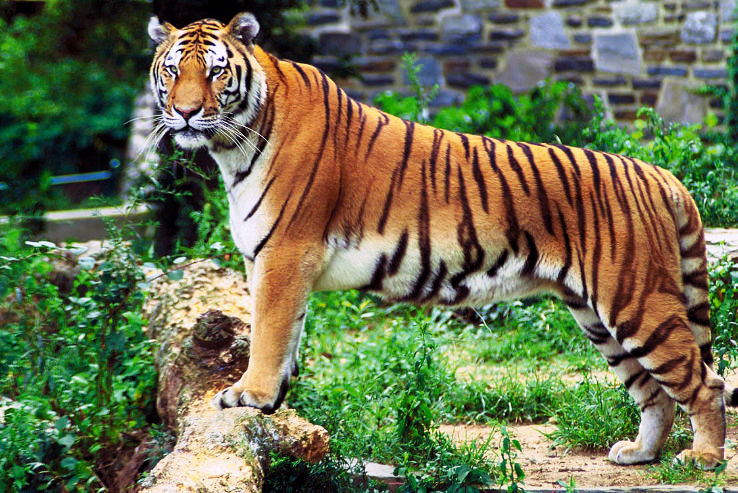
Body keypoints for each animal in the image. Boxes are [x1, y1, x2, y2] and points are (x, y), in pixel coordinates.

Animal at [148, 12, 737, 468]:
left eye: (216, 71)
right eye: (173, 70)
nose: (185, 112)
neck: (233, 146)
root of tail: (659, 174)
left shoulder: (285, 254)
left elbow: (268, 332)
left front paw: (250, 395)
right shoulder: (269, 261)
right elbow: (285, 334)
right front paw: (274, 402)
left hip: (636, 301)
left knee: (704, 382)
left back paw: (702, 458)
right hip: (598, 316)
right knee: (654, 392)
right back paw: (640, 454)